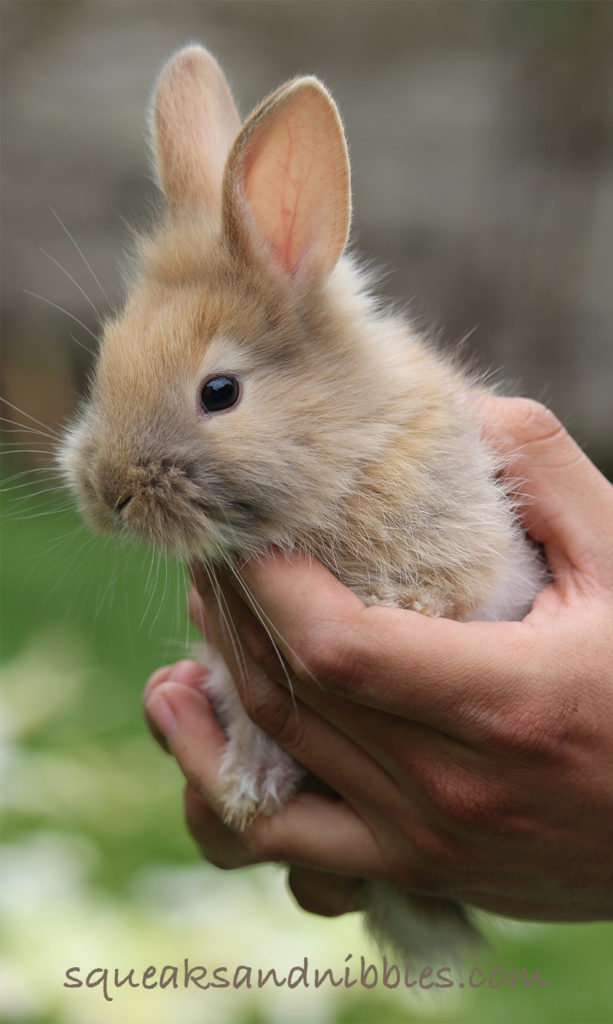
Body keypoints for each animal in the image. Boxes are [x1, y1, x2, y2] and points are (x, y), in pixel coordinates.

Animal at [58, 44, 548, 962]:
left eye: (219, 391)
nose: (110, 493)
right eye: (106, 361)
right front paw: (248, 790)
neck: (343, 453)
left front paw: (406, 607)